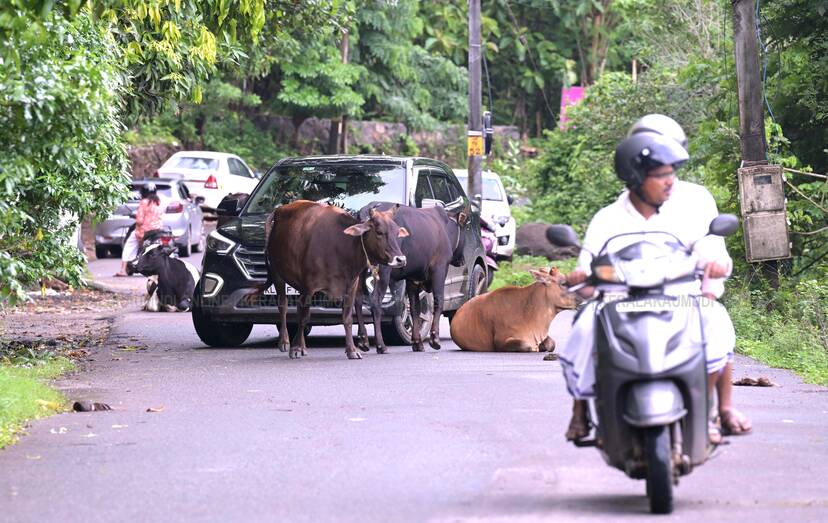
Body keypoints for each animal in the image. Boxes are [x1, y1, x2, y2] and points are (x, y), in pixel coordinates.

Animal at [264, 201, 410, 360]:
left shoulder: (351, 286)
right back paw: (285, 342)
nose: (401, 259)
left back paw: (302, 346)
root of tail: (279, 209)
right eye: (379, 232)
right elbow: (303, 318)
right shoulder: (308, 287)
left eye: (397, 232)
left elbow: (347, 318)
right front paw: (295, 348)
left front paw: (351, 350)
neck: (341, 248)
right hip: (277, 274)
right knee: (283, 306)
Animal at [354, 200, 468, 352]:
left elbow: (414, 308)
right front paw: (434, 339)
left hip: (359, 273)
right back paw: (380, 345)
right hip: (383, 271)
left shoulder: (412, 279)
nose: (462, 259)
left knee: (358, 300)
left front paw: (417, 342)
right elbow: (438, 301)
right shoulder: (439, 269)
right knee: (375, 301)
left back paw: (363, 340)